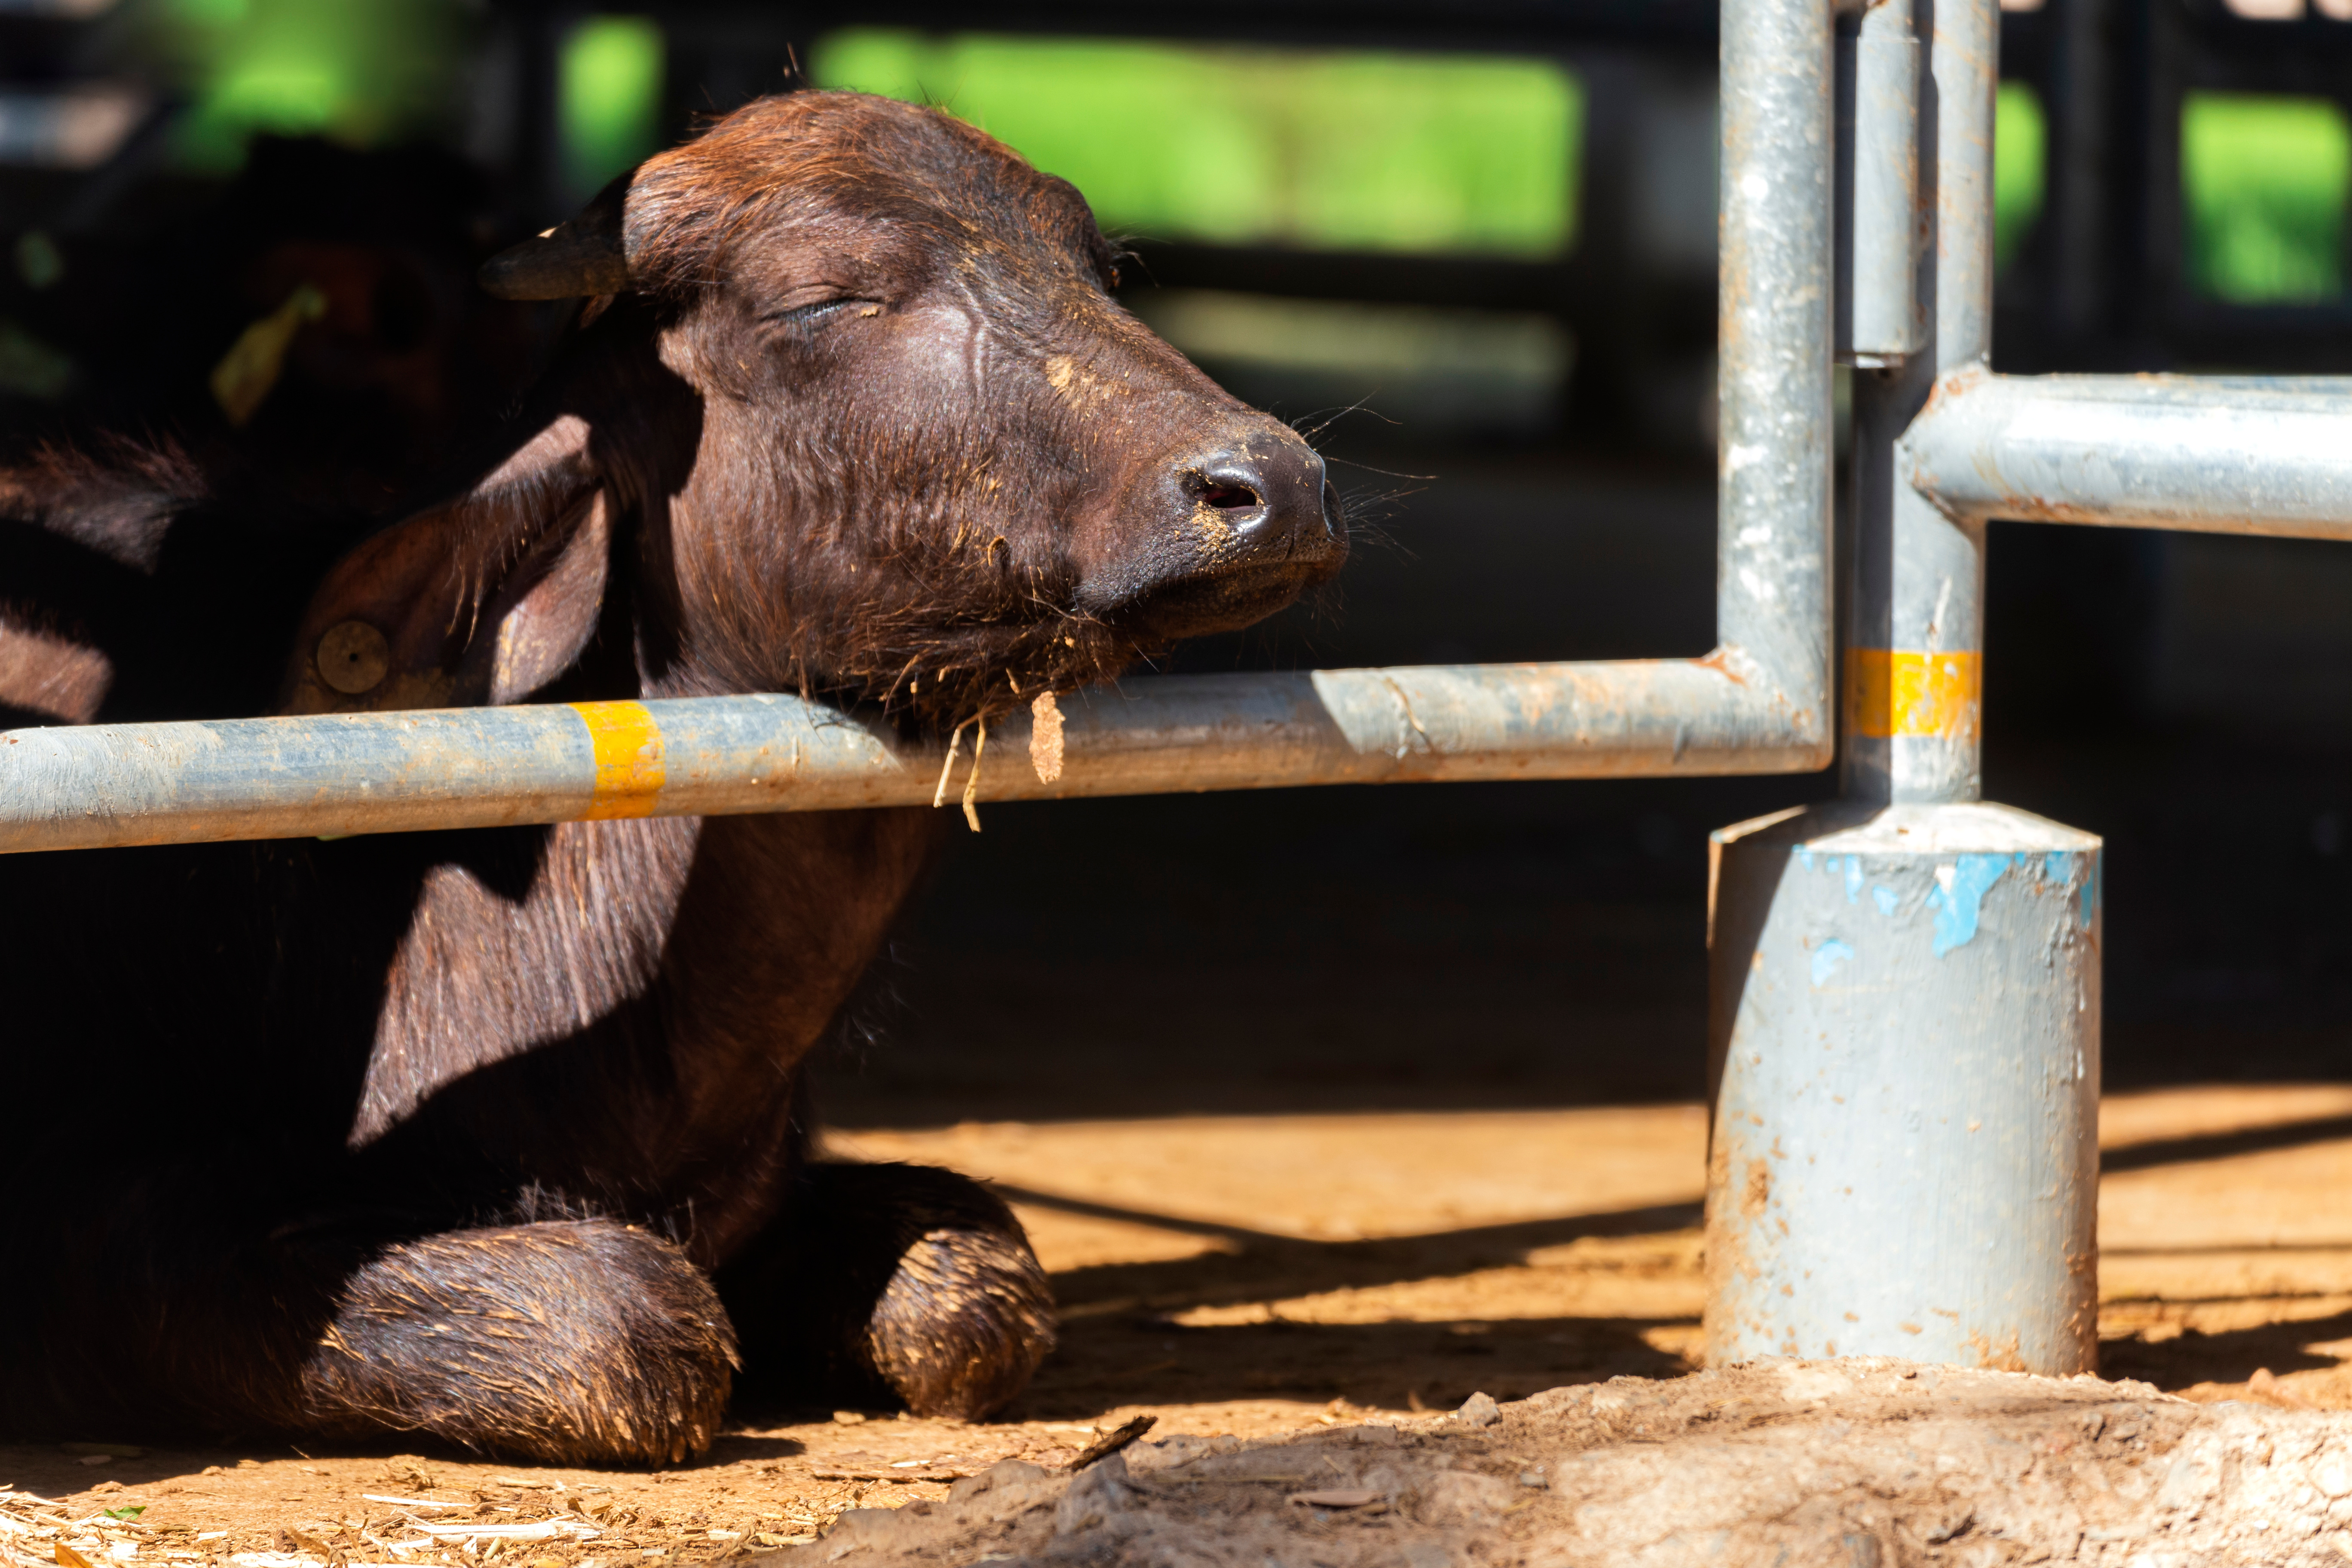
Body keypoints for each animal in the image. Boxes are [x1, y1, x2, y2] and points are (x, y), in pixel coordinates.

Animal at [0, 90, 1345, 1464]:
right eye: (826, 299)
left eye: (1101, 270)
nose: (1273, 487)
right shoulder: (101, 1231)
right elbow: (634, 1321)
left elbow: (974, 1284)